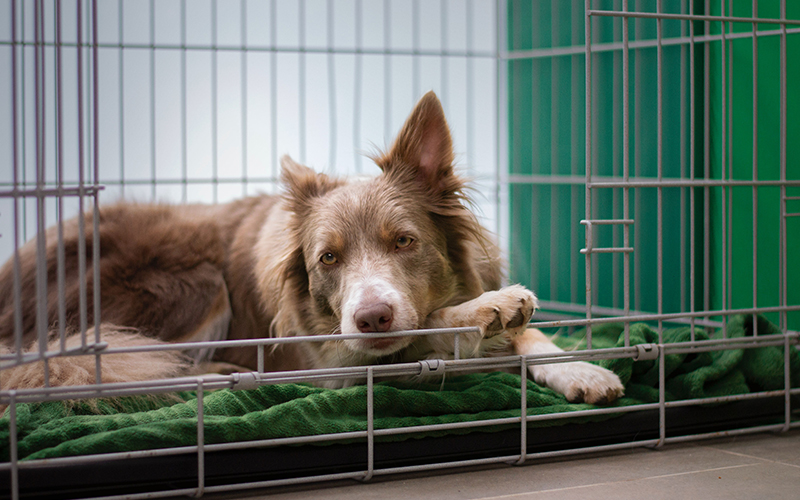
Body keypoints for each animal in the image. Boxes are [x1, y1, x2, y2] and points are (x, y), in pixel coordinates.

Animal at [0, 93, 624, 406]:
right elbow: (426, 330)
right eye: (328, 259)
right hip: (193, 281)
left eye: (405, 241)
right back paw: (221, 374)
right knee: (125, 365)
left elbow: (531, 336)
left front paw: (579, 367)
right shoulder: (336, 361)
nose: (371, 317)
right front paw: (486, 311)